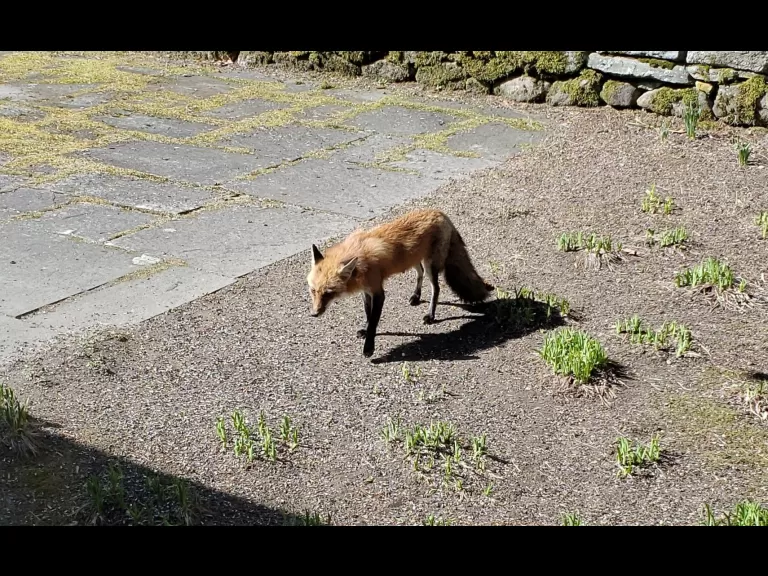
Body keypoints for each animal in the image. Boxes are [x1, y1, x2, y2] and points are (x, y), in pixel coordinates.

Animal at [306, 208, 494, 358]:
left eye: (328, 293)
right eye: (313, 291)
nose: (314, 314)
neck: (358, 259)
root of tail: (440, 213)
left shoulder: (378, 291)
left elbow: (374, 321)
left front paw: (369, 347)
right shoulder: (366, 291)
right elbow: (368, 315)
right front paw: (366, 330)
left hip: (430, 265)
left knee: (436, 288)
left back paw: (430, 315)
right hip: (415, 260)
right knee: (419, 274)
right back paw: (416, 296)